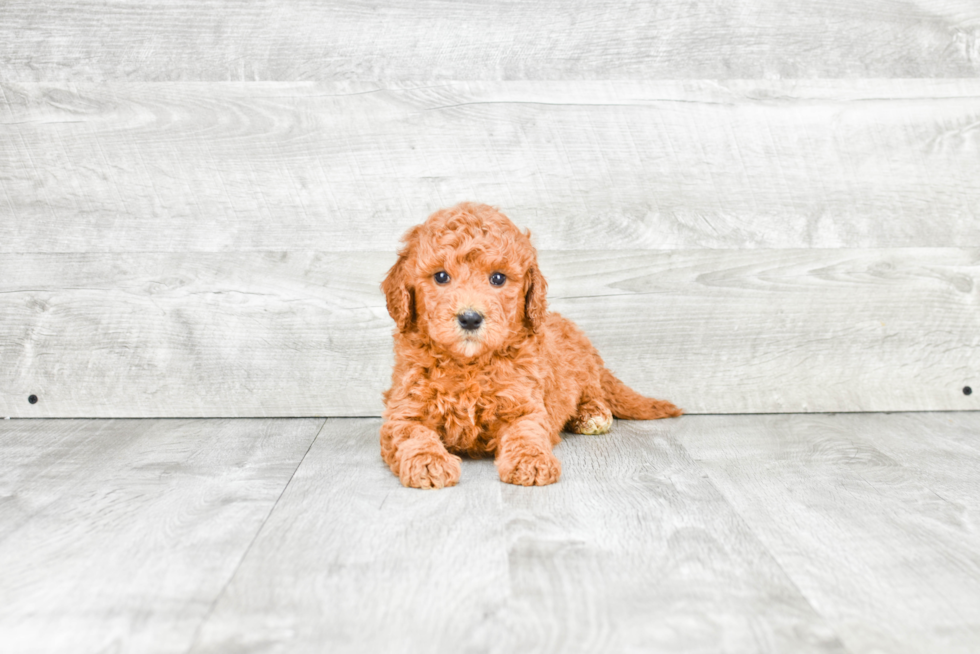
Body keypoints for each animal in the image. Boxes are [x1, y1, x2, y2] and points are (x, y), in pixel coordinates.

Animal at [378, 202, 680, 490]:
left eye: (498, 278)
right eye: (441, 277)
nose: (470, 318)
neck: (469, 364)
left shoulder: (524, 405)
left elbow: (527, 434)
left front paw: (531, 462)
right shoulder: (404, 410)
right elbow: (413, 435)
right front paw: (428, 462)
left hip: (584, 370)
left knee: (594, 393)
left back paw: (591, 415)